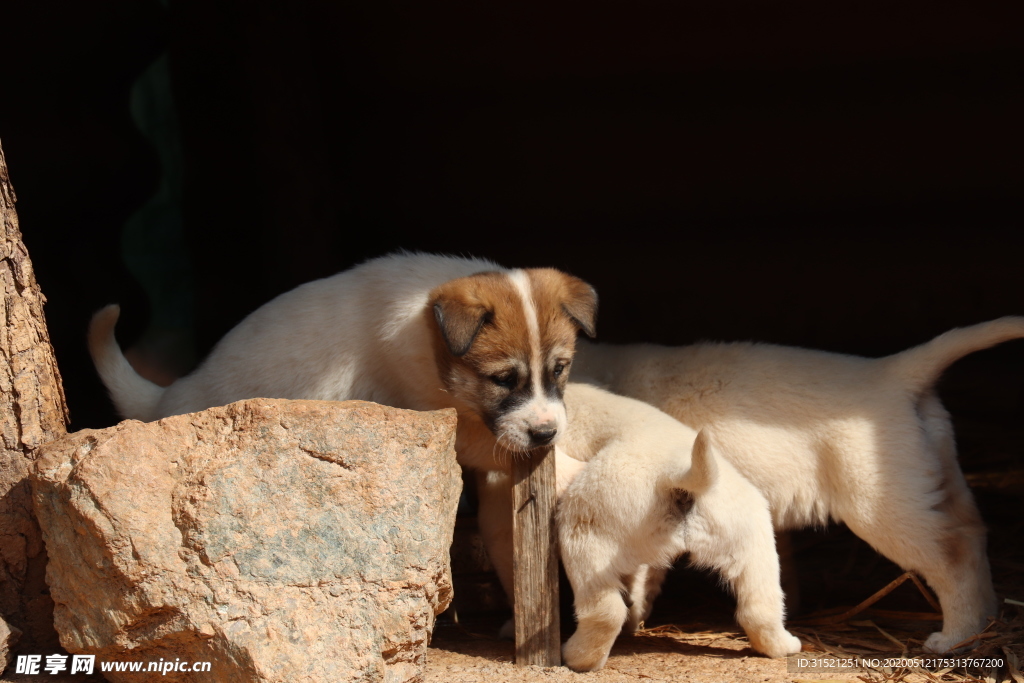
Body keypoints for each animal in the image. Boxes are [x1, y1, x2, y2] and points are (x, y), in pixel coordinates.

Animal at [475, 385, 802, 671]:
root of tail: (679, 476)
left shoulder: (501, 530)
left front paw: (510, 627)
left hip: (584, 528)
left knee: (605, 610)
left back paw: (578, 658)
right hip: (752, 536)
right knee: (760, 607)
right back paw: (784, 645)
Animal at [573, 317, 1024, 655]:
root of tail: (894, 372)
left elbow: (637, 568)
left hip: (883, 507)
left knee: (952, 556)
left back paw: (955, 637)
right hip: (936, 479)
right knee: (972, 534)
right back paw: (986, 618)